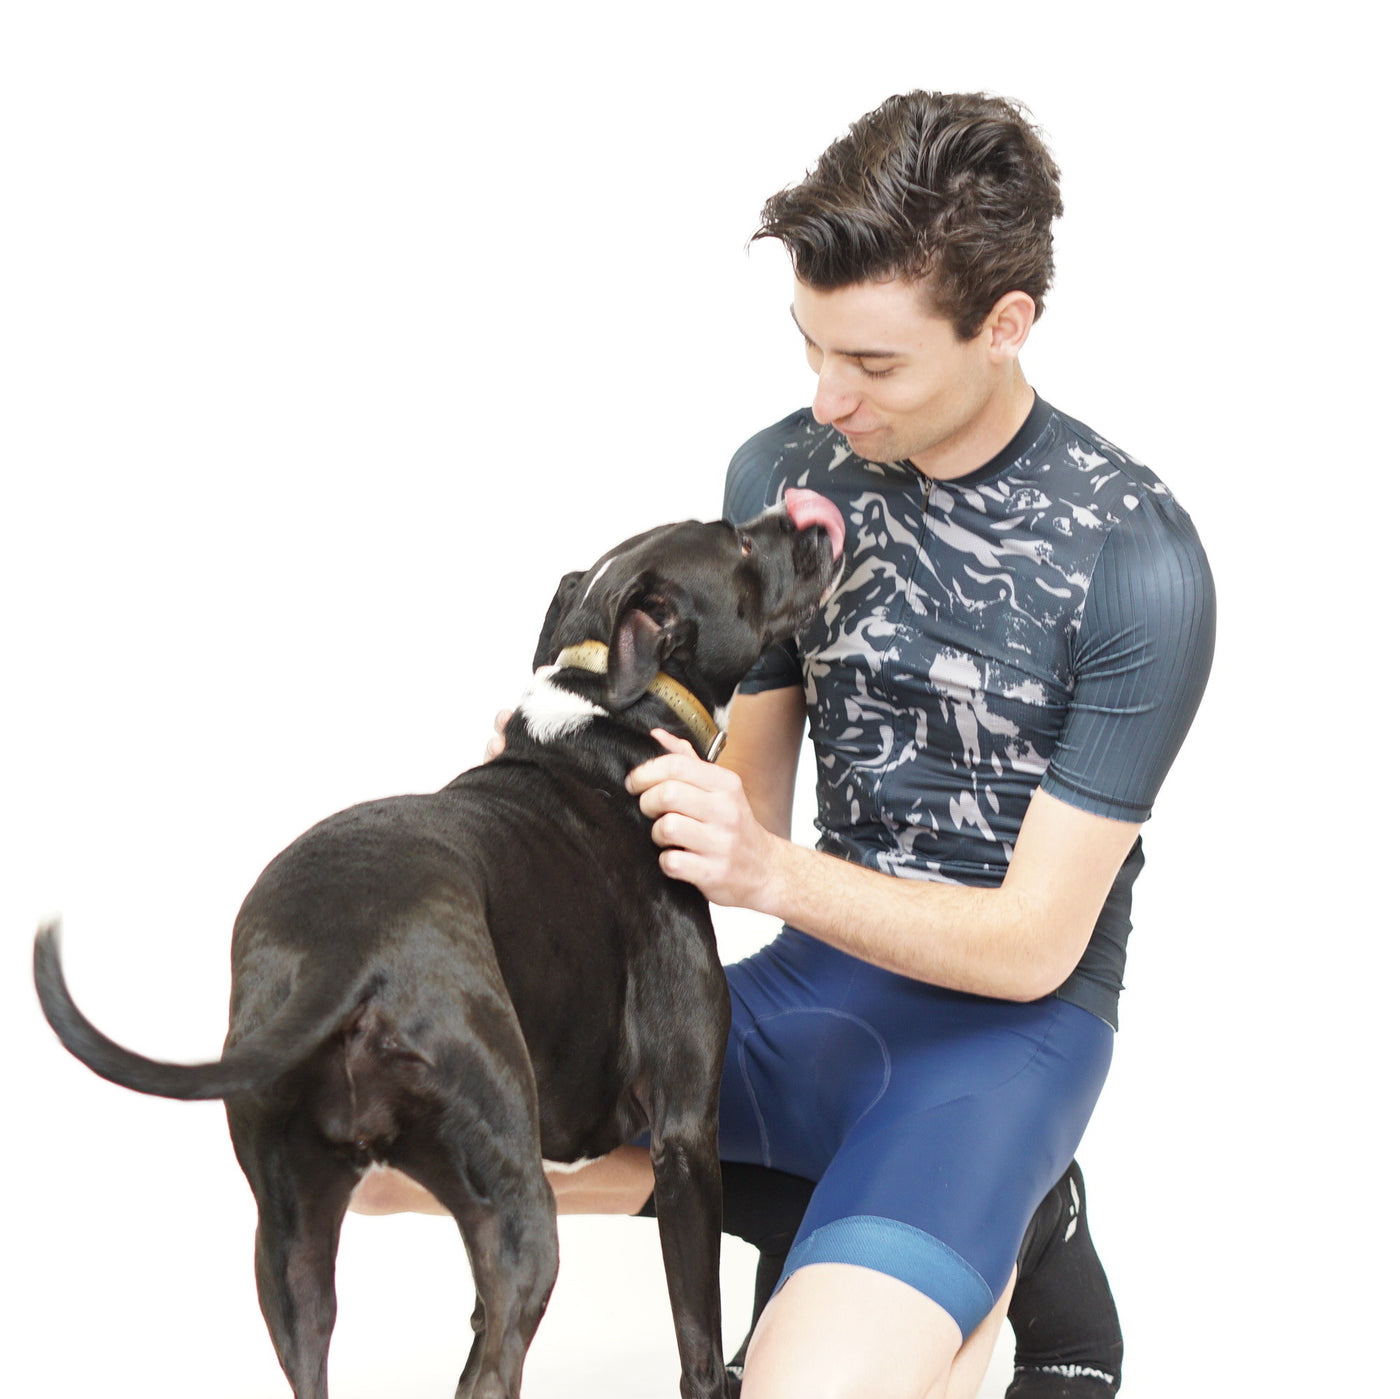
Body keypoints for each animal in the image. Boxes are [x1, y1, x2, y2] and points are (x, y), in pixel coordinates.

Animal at [33, 489, 845, 1399]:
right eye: (738, 540)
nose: (811, 518)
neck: (609, 706)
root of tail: (343, 949)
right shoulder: (684, 1135)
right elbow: (698, 1345)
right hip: (520, 1210)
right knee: (501, 1359)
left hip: (292, 1244)